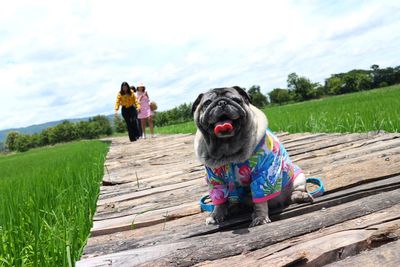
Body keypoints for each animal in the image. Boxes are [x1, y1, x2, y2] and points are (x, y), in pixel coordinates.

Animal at [191, 87, 312, 228]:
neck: (228, 150)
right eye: (207, 103)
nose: (221, 103)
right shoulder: (215, 181)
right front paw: (216, 215)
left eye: (236, 100)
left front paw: (260, 217)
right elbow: (219, 201)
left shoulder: (263, 174)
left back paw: (301, 196)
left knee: (293, 193)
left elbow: (259, 200)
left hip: (298, 178)